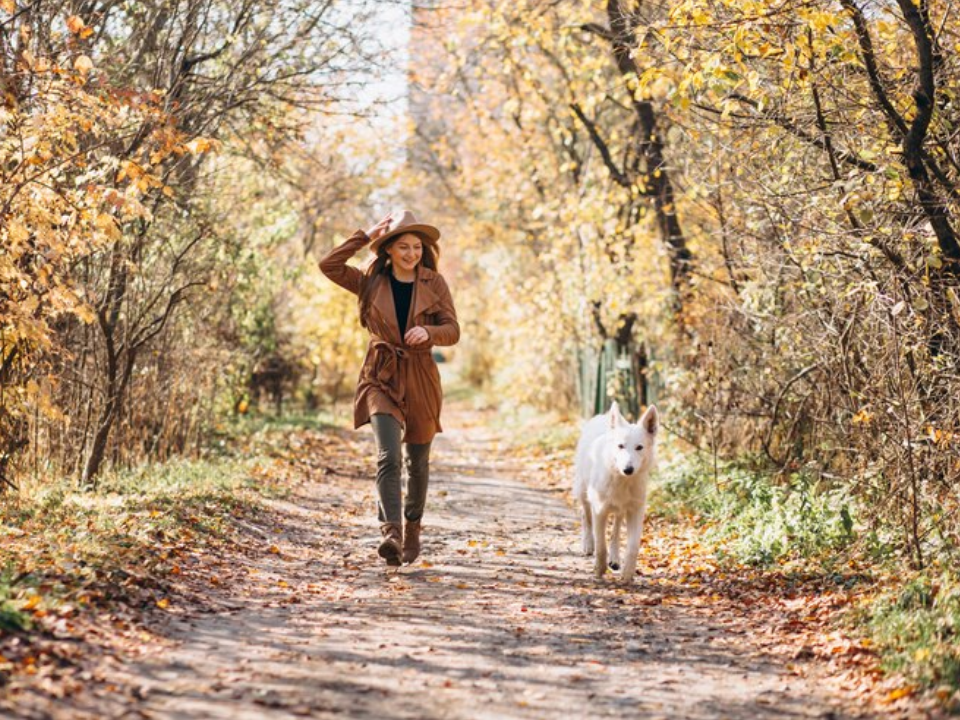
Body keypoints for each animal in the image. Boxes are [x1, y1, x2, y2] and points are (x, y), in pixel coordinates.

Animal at [572, 402, 656, 584]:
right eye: (621, 446)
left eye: (639, 447)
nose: (628, 469)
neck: (622, 480)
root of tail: (603, 416)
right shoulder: (599, 511)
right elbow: (600, 545)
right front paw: (599, 570)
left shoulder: (635, 511)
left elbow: (633, 546)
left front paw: (628, 574)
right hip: (583, 492)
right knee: (585, 516)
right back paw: (588, 545)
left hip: (621, 510)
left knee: (616, 530)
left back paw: (615, 558)